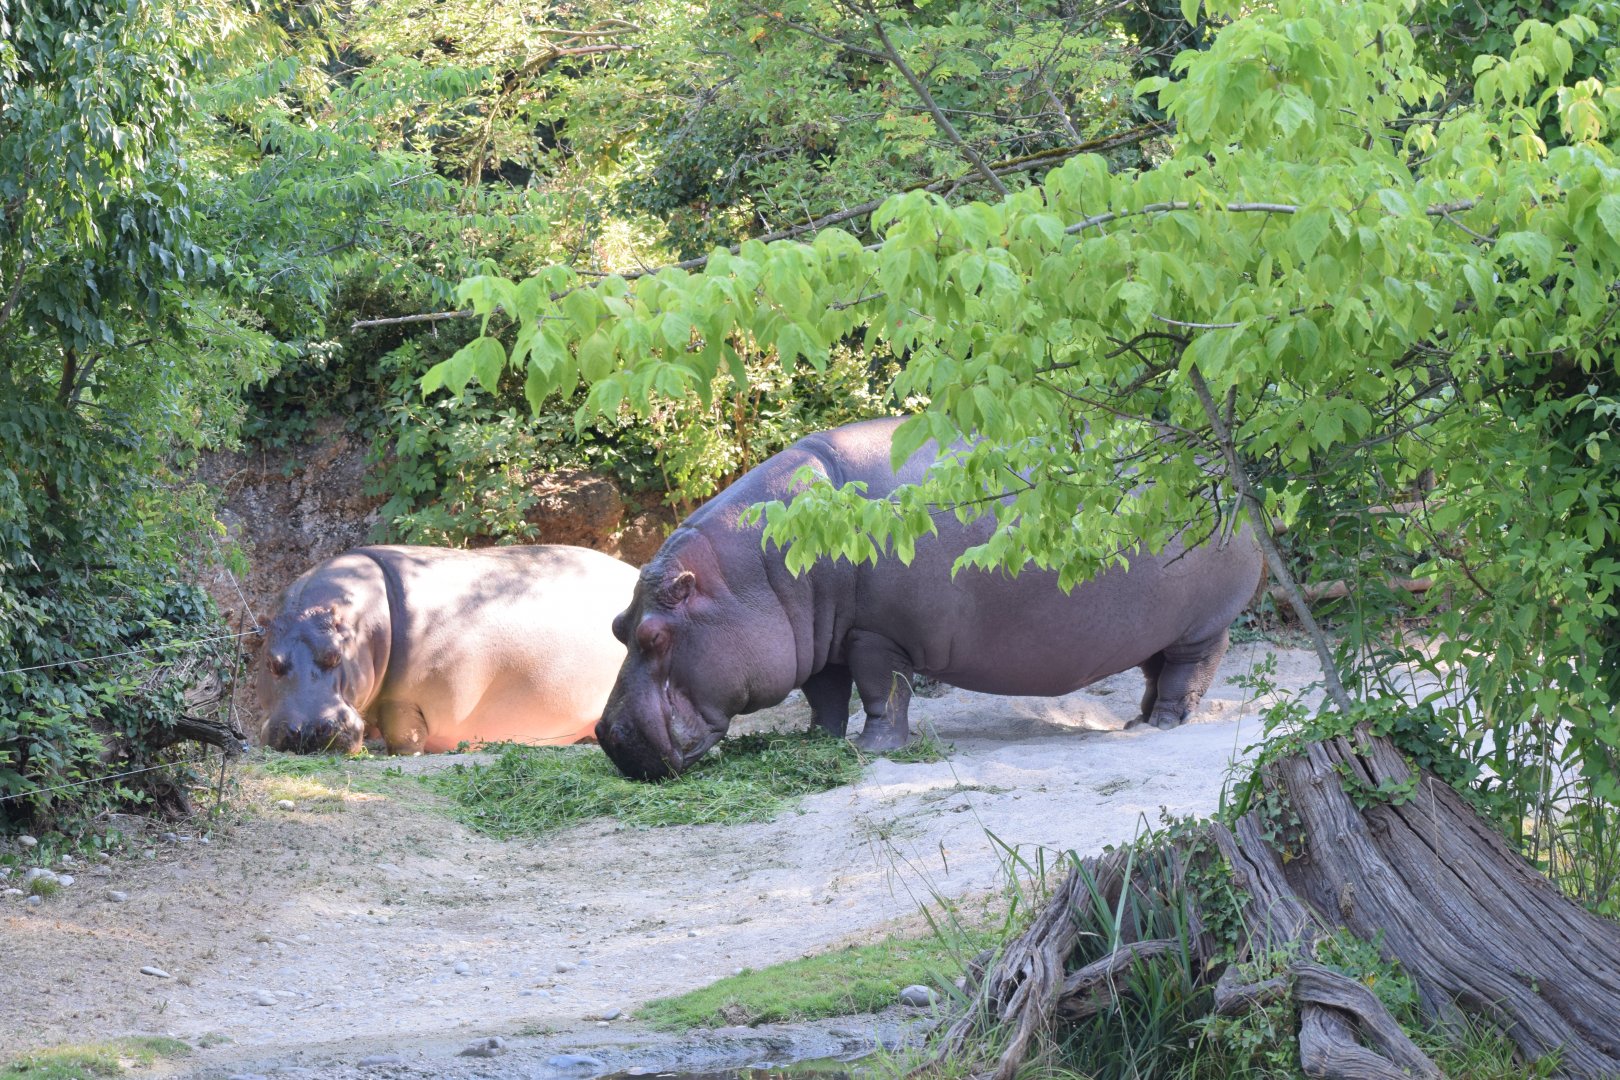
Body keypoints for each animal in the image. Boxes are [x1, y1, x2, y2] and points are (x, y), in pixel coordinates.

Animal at [259, 544, 637, 754]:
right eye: (272, 663)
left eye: (336, 655)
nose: (307, 731)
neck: (364, 626)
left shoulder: (404, 701)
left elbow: (405, 737)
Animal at [595, 417, 1264, 780]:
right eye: (616, 626)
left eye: (655, 635)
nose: (605, 734)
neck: (750, 575)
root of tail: (1231, 476)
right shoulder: (821, 639)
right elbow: (825, 696)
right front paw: (816, 742)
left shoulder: (873, 635)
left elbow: (881, 692)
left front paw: (871, 749)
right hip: (1160, 628)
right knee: (1155, 671)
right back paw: (1136, 721)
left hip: (1203, 626)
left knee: (1189, 672)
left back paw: (1165, 723)